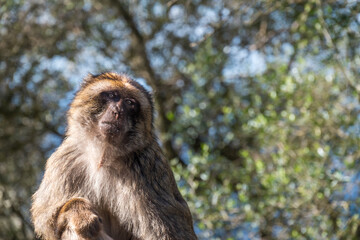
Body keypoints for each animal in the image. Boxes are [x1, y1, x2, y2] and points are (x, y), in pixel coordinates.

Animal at [30, 73, 197, 240]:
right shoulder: (64, 160)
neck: (103, 155)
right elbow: (45, 220)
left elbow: (168, 233)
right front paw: (80, 213)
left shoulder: (149, 167)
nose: (117, 112)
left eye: (130, 103)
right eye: (112, 95)